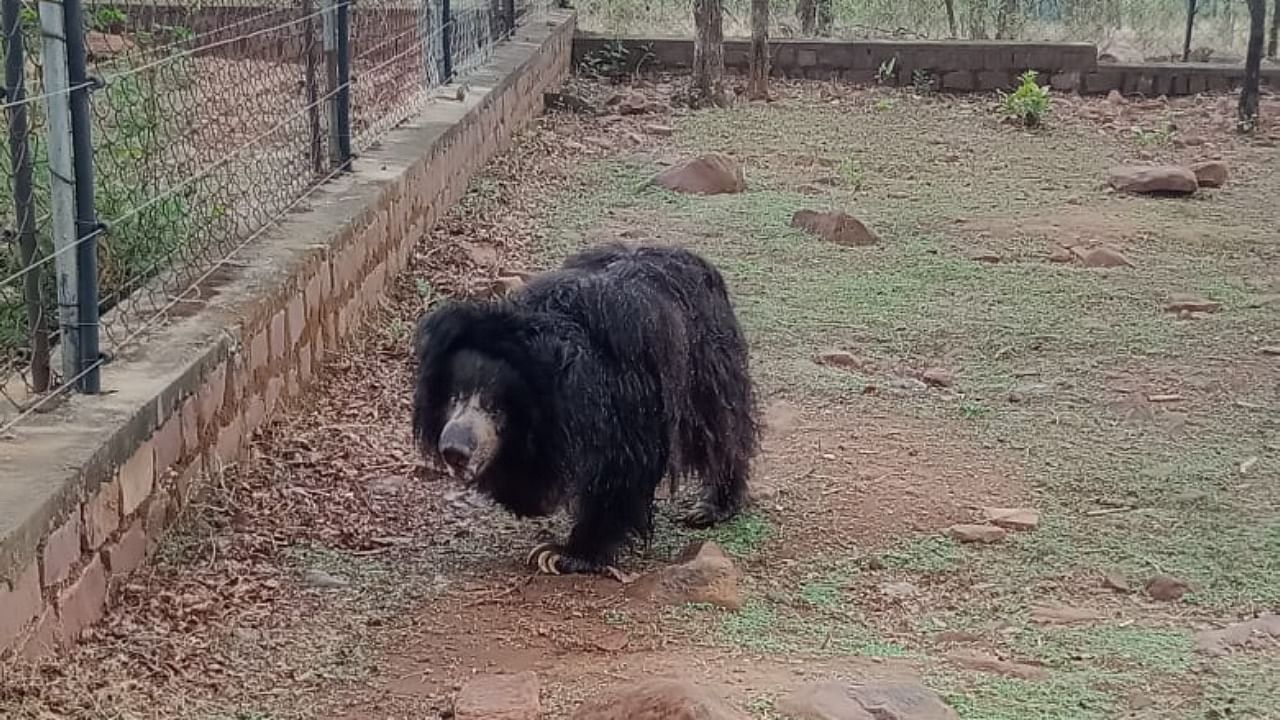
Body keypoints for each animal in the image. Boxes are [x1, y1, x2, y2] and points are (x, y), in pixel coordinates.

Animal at [412, 240, 757, 576]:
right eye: (454, 396)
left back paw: (712, 505)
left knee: (718, 430)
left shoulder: (624, 401)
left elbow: (620, 471)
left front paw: (564, 555)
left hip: (703, 366)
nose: (454, 451)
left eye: (496, 408)